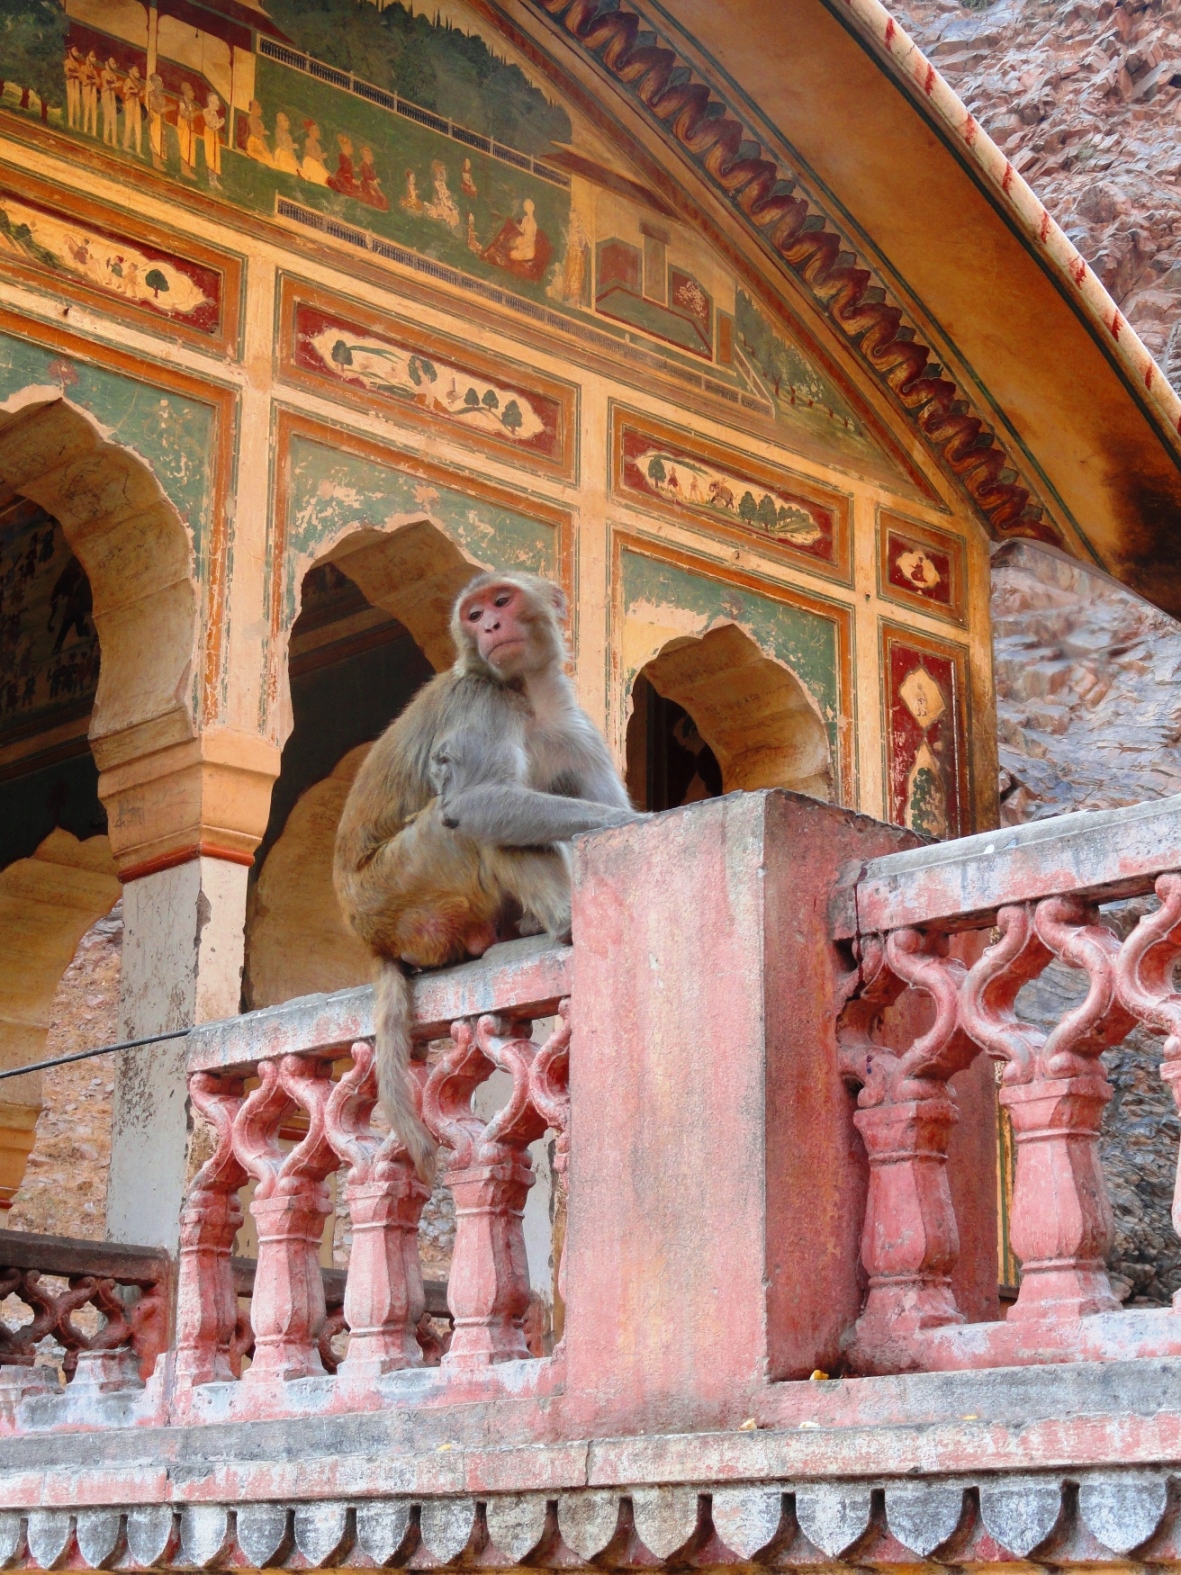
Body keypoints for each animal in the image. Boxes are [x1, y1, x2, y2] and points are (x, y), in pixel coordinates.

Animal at [335, 573, 639, 1178]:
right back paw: (566, 924)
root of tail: (369, 936)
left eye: (502, 601)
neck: (526, 694)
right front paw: (636, 823)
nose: (492, 625)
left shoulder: (577, 728)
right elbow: (474, 802)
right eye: (473, 615)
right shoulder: (482, 702)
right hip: (405, 890)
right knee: (465, 820)